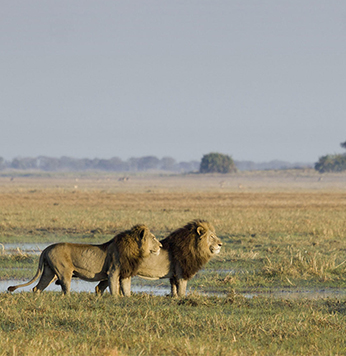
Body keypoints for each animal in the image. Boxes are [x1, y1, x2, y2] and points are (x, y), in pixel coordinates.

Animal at [6, 225, 161, 294]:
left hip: (49, 272)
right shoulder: (113, 271)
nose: (160, 246)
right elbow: (114, 290)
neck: (135, 249)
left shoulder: (125, 274)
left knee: (37, 288)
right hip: (64, 272)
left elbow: (126, 291)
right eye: (153, 238)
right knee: (65, 290)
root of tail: (46, 249)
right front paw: (115, 300)